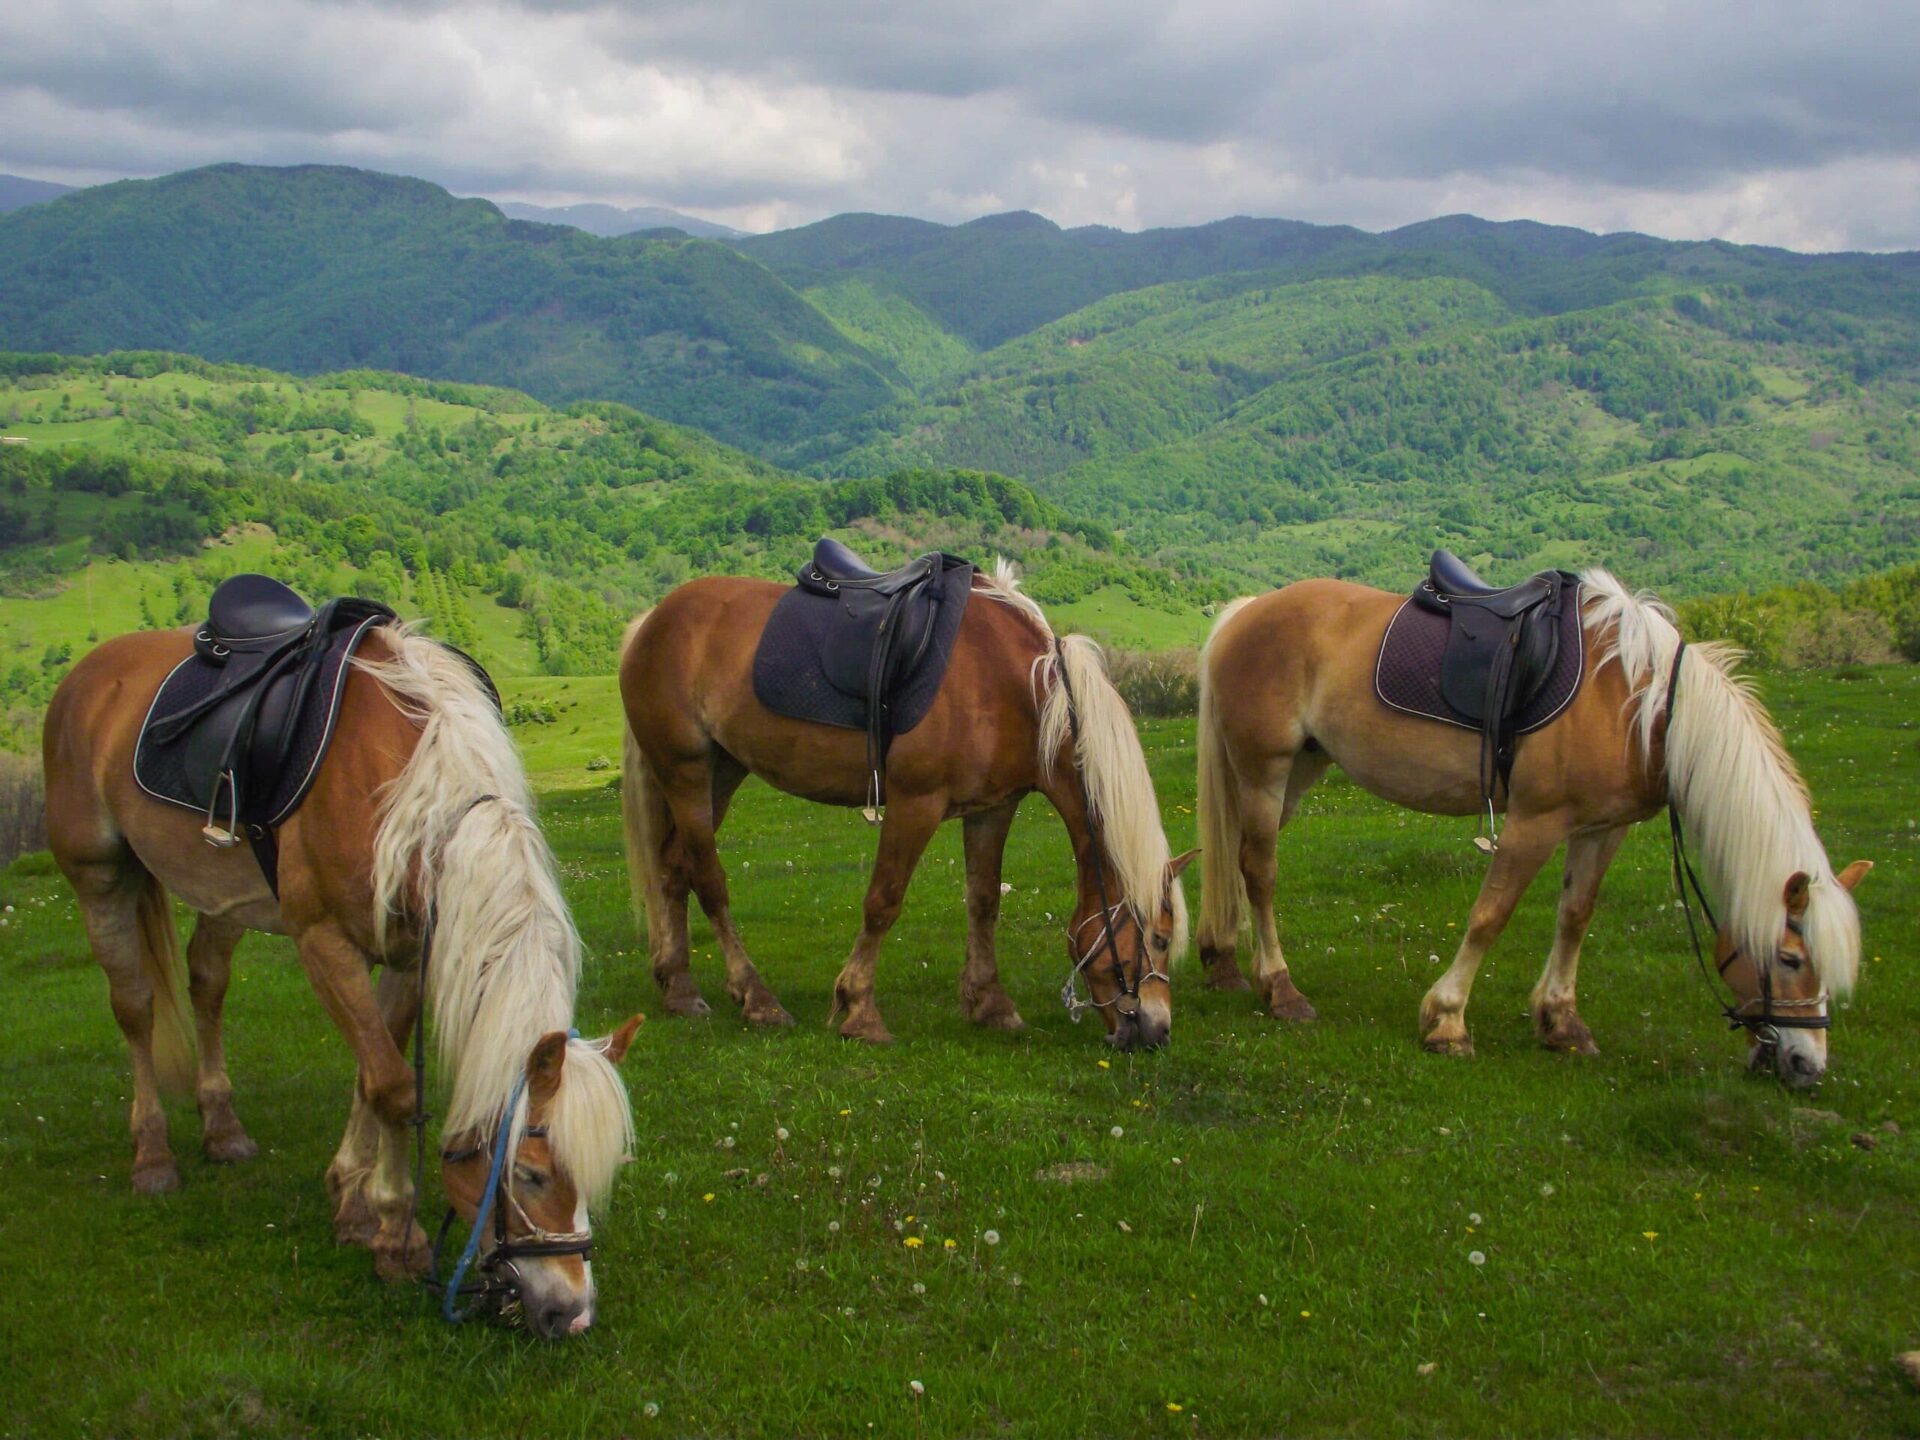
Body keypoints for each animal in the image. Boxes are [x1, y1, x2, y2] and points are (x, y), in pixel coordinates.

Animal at [43, 614, 645, 1336]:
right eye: (528, 1174)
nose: (572, 1313)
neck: (407, 791)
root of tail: (88, 673)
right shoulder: (323, 943)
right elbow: (392, 1087)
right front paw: (396, 1233)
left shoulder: (413, 951)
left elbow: (371, 1071)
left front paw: (353, 1202)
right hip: (98, 876)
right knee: (134, 1005)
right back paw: (154, 1155)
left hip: (222, 896)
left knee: (206, 983)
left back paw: (223, 1128)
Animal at [614, 556, 1190, 1052]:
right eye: (1159, 939)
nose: (1158, 1032)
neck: (1009, 683)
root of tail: (651, 620)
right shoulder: (917, 804)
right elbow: (883, 901)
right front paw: (858, 1010)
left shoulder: (991, 809)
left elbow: (984, 901)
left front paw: (991, 1004)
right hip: (686, 772)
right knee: (708, 880)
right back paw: (756, 999)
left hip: (722, 772)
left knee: (673, 871)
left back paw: (679, 989)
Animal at [1190, 568, 1866, 1090]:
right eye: (1790, 957)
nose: (1807, 1067)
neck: (1640, 704)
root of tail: (1248, 611)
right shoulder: (1534, 823)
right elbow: (1491, 915)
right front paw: (1447, 1021)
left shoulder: (1602, 829)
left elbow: (1575, 917)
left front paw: (1561, 1021)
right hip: (1265, 771)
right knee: (1259, 872)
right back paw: (1280, 989)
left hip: (1296, 772)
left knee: (1233, 860)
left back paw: (1224, 961)